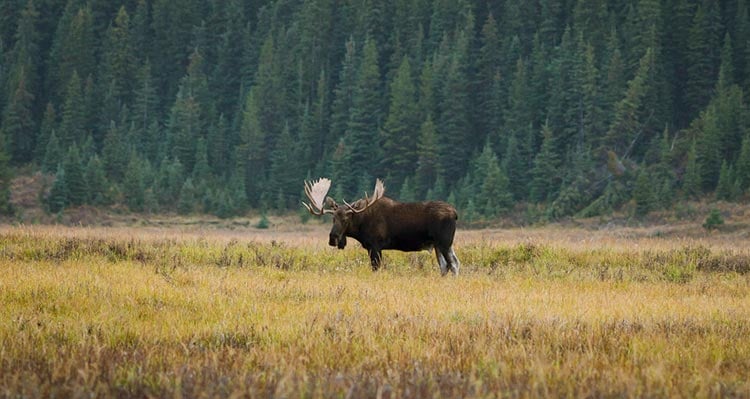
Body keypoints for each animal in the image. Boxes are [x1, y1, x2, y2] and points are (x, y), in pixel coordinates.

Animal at [302, 178, 462, 276]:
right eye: (333, 218)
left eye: (346, 219)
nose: (333, 238)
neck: (360, 225)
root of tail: (455, 213)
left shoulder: (375, 245)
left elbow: (375, 268)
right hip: (438, 245)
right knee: (445, 266)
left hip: (444, 242)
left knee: (453, 264)